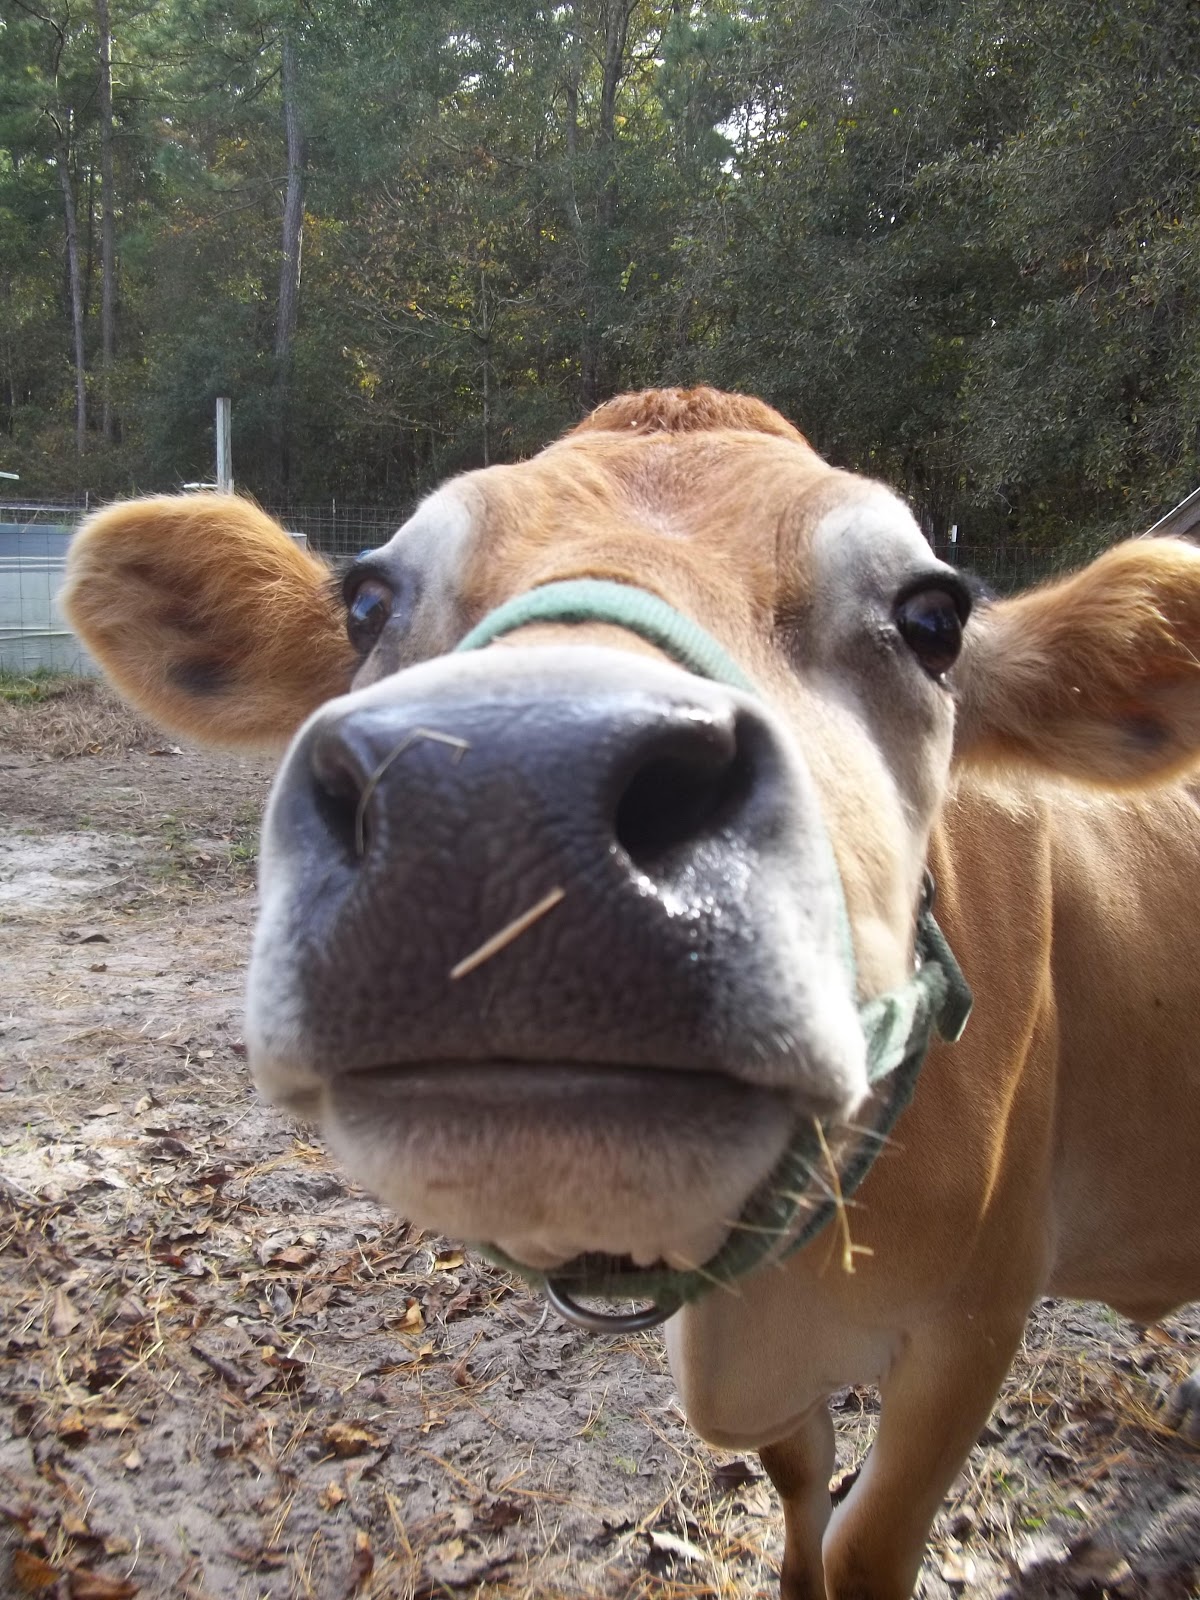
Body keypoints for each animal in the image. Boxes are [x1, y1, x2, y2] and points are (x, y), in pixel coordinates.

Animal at [62, 388, 1200, 1599]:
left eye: (933, 617)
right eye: (367, 601)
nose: (505, 788)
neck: (763, 1311)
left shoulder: (976, 1324)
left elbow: (868, 1539)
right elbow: (801, 1487)